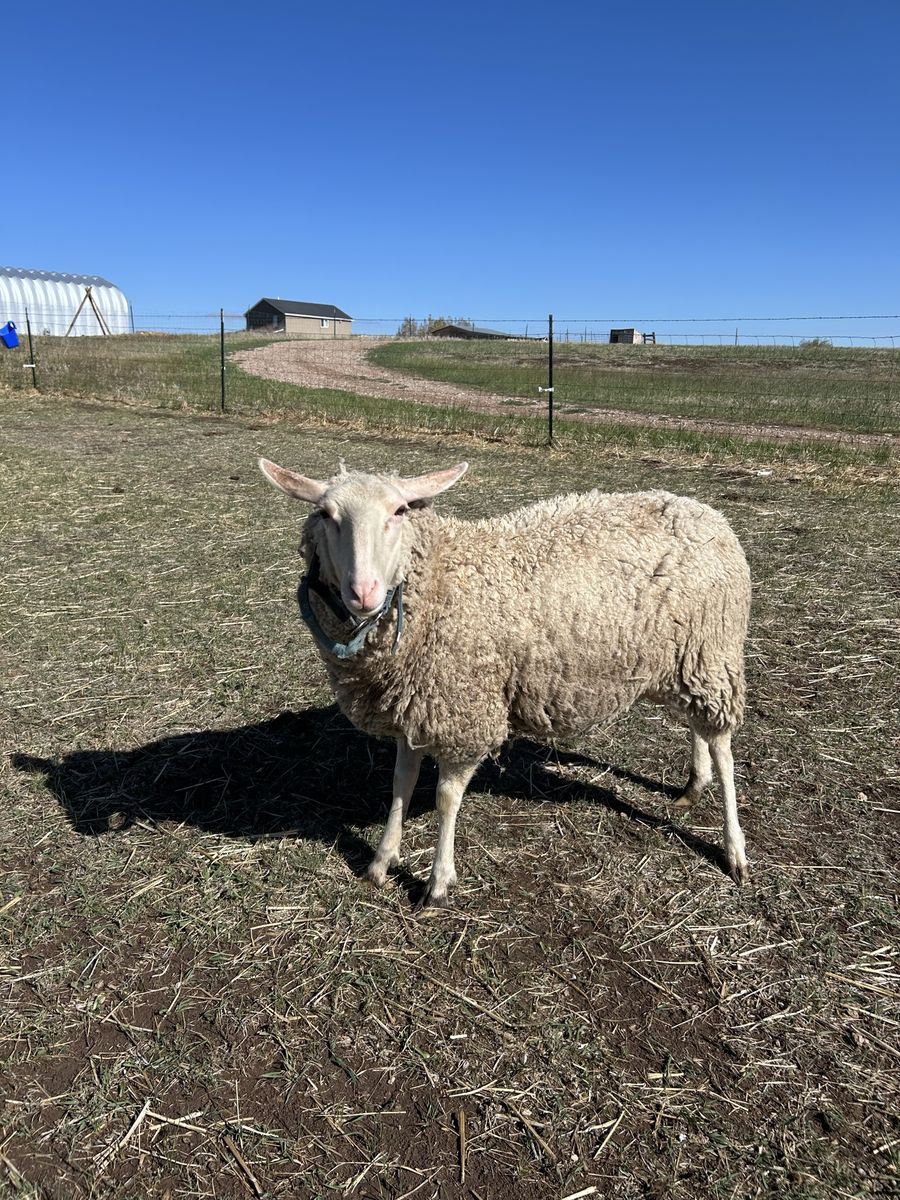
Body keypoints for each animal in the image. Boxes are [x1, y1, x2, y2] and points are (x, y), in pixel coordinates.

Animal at [259, 457, 752, 908]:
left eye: (399, 511)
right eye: (326, 514)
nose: (364, 592)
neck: (443, 579)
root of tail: (707, 513)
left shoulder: (463, 711)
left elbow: (446, 798)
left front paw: (438, 883)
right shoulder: (414, 707)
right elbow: (401, 783)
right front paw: (381, 861)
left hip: (714, 651)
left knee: (723, 746)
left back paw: (734, 850)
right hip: (686, 659)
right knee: (696, 725)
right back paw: (693, 785)